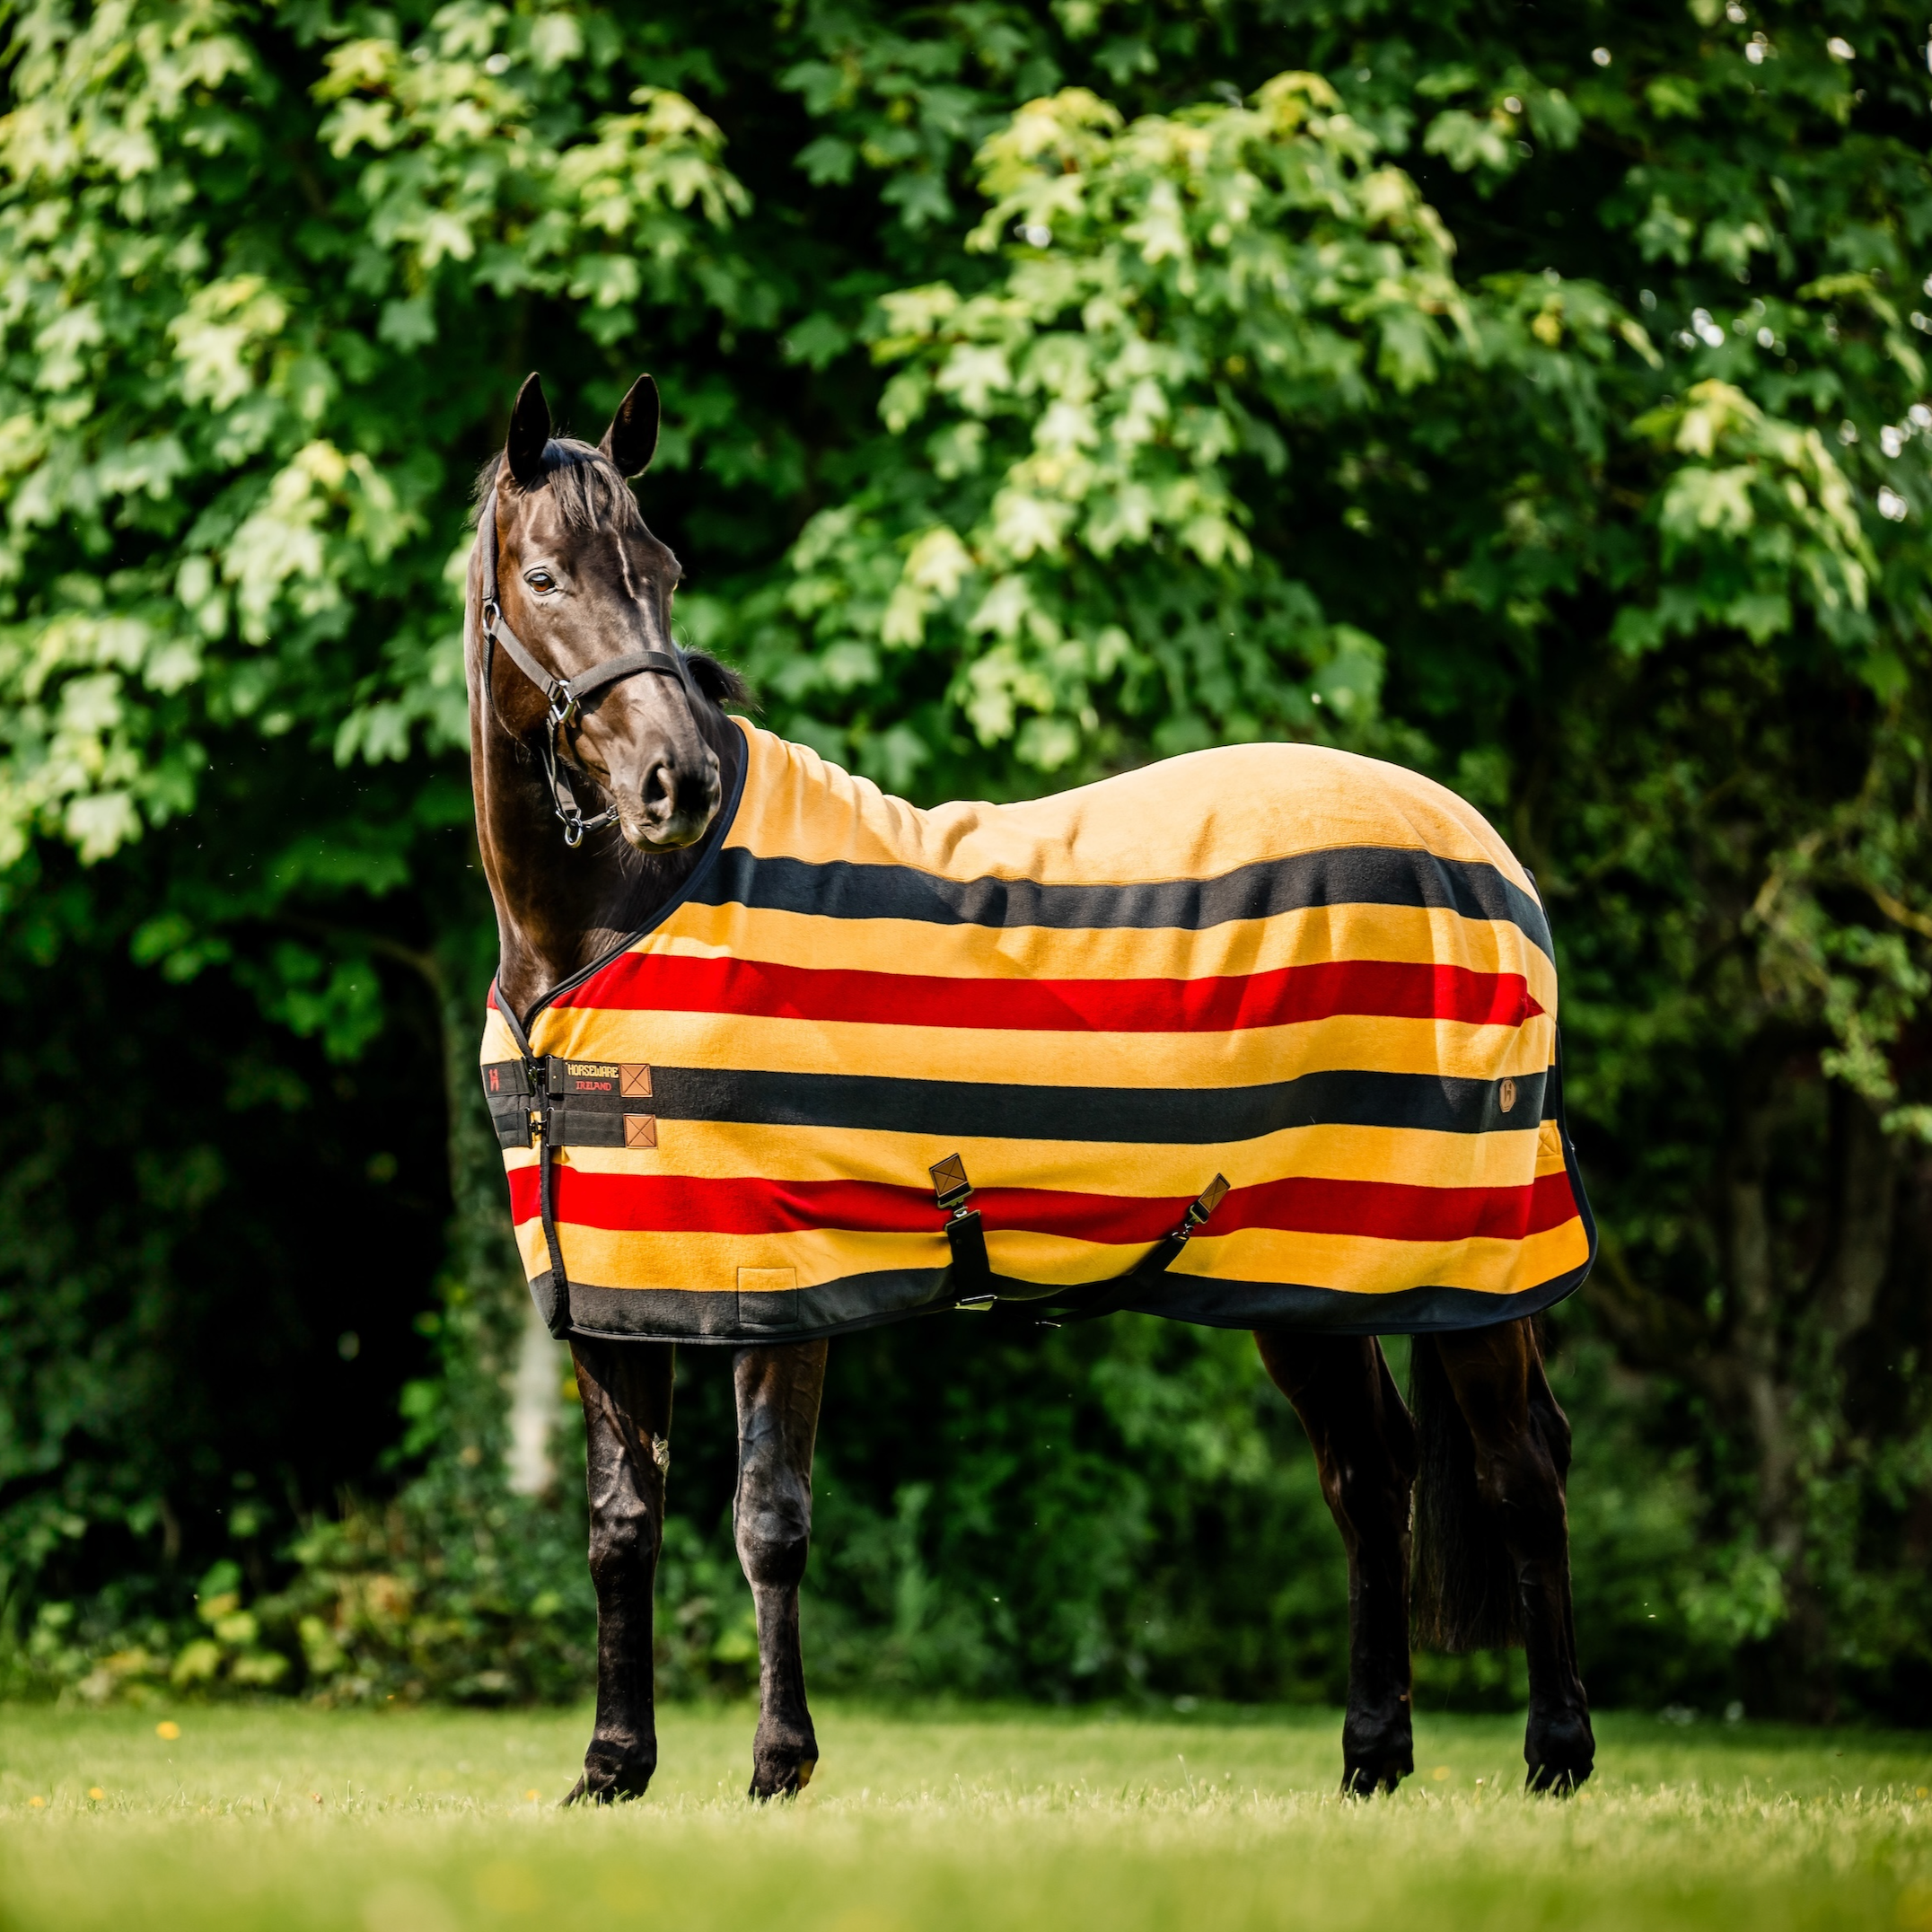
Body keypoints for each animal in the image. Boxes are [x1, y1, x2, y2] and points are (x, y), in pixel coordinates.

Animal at [465, 370, 1596, 1804]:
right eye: (545, 575)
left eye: (663, 572)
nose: (679, 782)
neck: (609, 926)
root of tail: (1480, 855)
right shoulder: (619, 1289)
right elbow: (622, 1526)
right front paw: (613, 1770)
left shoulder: (778, 1279)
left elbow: (768, 1521)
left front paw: (780, 1765)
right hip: (1307, 1265)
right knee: (1367, 1471)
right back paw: (1371, 1759)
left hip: (1469, 1253)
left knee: (1518, 1469)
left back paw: (1556, 1756)